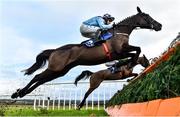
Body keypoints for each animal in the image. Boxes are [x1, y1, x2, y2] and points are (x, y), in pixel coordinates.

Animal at [11, 6, 162, 98]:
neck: (120, 32)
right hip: (55, 68)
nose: (159, 25)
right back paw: (18, 93)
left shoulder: (121, 52)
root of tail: (55, 50)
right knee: (37, 77)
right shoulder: (119, 51)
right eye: (147, 16)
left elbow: (135, 52)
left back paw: (21, 93)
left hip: (60, 71)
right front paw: (129, 64)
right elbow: (137, 49)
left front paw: (127, 65)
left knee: (41, 80)